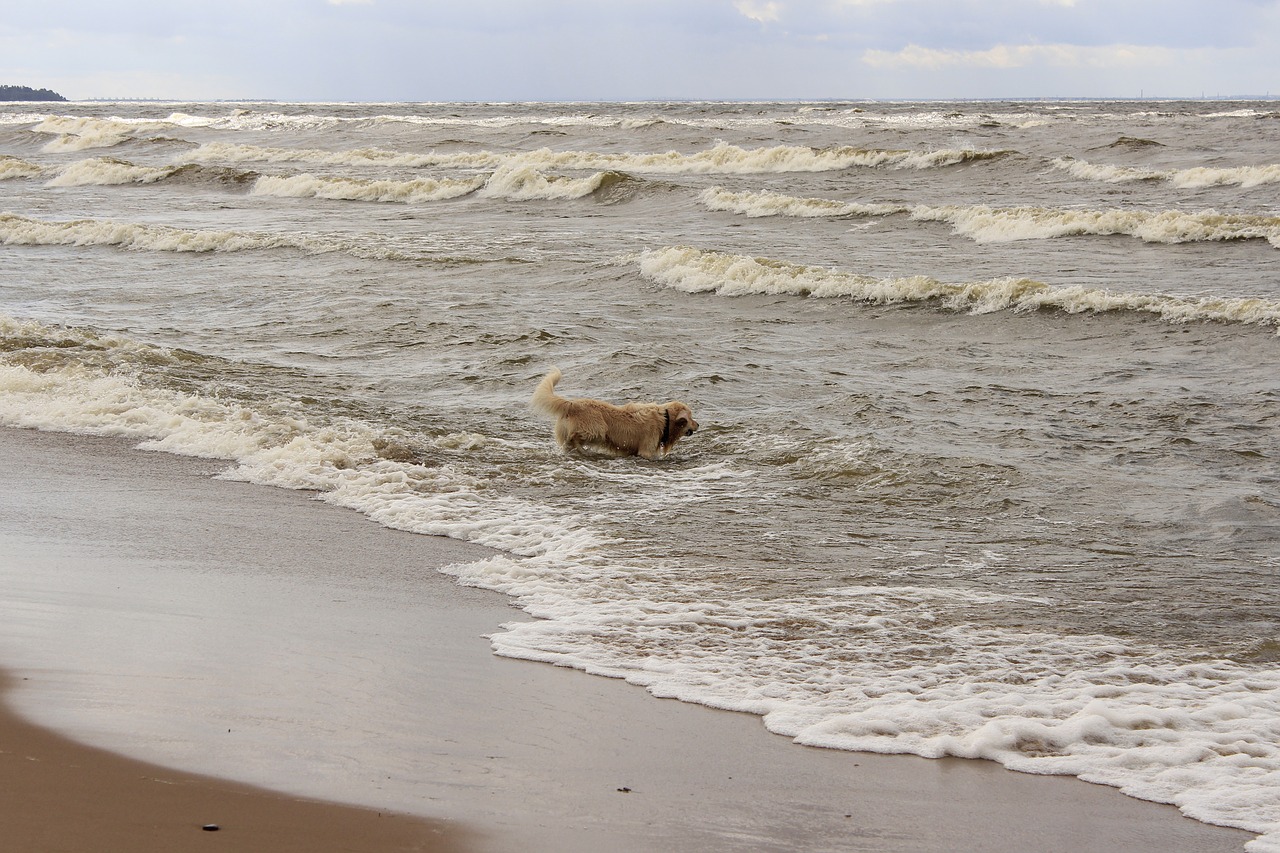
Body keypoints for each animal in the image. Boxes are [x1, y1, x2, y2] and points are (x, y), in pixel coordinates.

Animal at [535, 366, 706, 458]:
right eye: (690, 417)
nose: (698, 424)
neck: (665, 419)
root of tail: (572, 404)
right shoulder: (646, 450)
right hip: (598, 429)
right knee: (574, 438)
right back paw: (583, 450)